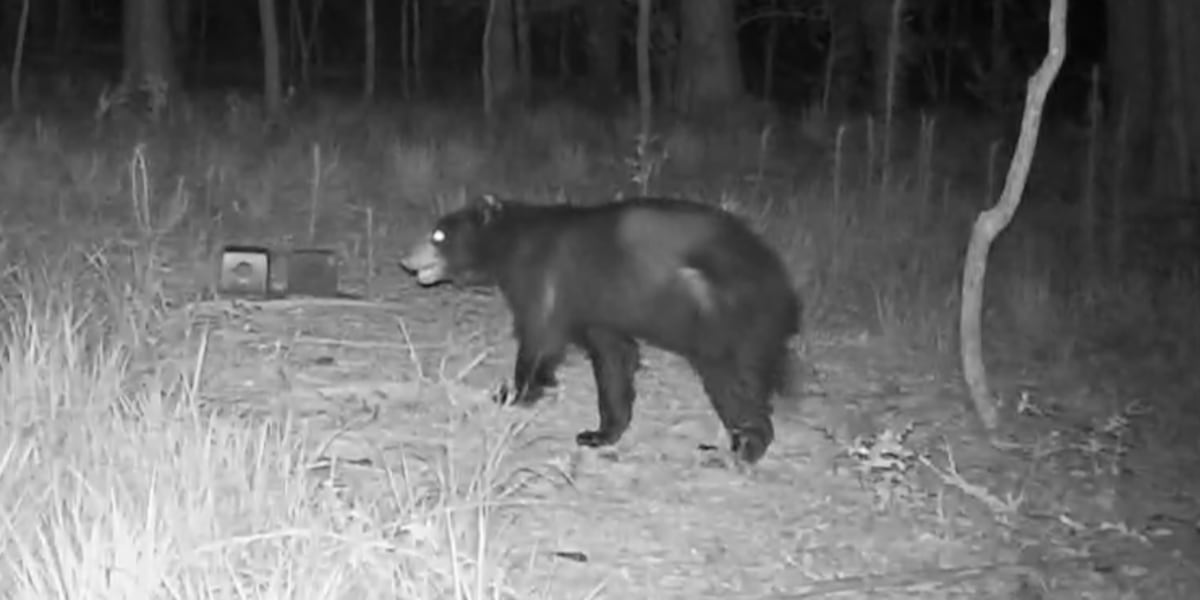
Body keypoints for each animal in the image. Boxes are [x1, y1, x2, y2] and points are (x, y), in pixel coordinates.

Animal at [401, 194, 801, 465]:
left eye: (438, 235)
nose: (406, 258)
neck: (512, 242)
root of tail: (784, 287)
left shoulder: (545, 276)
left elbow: (539, 334)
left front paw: (514, 392)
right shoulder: (600, 307)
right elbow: (613, 360)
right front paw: (597, 433)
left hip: (723, 319)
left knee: (734, 384)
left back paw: (742, 448)